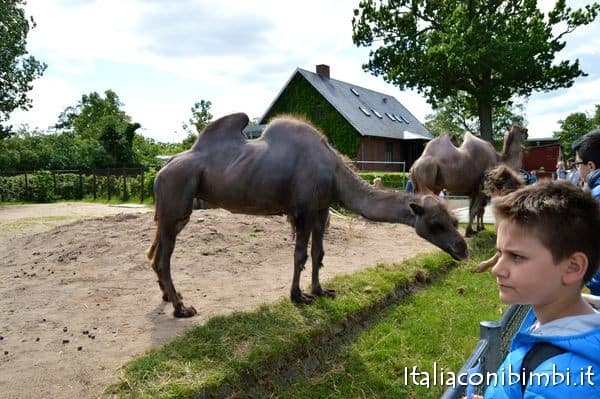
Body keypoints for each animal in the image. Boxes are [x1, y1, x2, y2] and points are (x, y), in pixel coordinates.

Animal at [148, 113, 472, 318]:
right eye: (435, 223)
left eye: (455, 221)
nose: (463, 248)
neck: (334, 173)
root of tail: (162, 169)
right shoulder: (302, 210)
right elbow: (300, 254)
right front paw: (298, 296)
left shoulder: (321, 208)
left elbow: (318, 252)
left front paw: (320, 290)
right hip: (177, 198)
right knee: (163, 257)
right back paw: (182, 309)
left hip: (172, 210)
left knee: (155, 252)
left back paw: (169, 297)